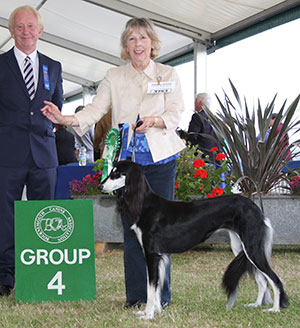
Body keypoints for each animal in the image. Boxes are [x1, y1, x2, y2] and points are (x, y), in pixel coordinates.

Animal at [100, 160, 288, 320]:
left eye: (116, 173)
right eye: (111, 171)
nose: (101, 186)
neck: (145, 204)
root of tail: (255, 206)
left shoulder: (151, 254)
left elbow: (151, 287)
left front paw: (148, 315)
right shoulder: (161, 256)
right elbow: (157, 288)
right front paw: (155, 311)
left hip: (251, 247)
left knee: (274, 279)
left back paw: (275, 309)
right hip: (241, 247)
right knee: (262, 280)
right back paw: (255, 305)